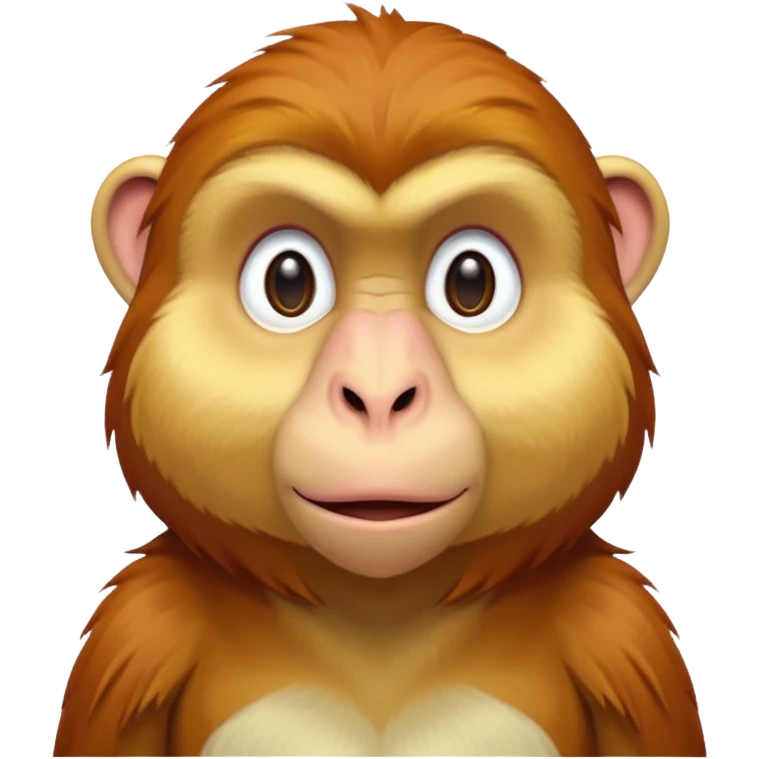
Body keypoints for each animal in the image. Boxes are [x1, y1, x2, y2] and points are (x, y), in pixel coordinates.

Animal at [57, 6, 703, 758]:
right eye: (287, 282)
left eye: (471, 282)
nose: (378, 394)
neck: (379, 616)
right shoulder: (142, 628)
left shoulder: (617, 630)